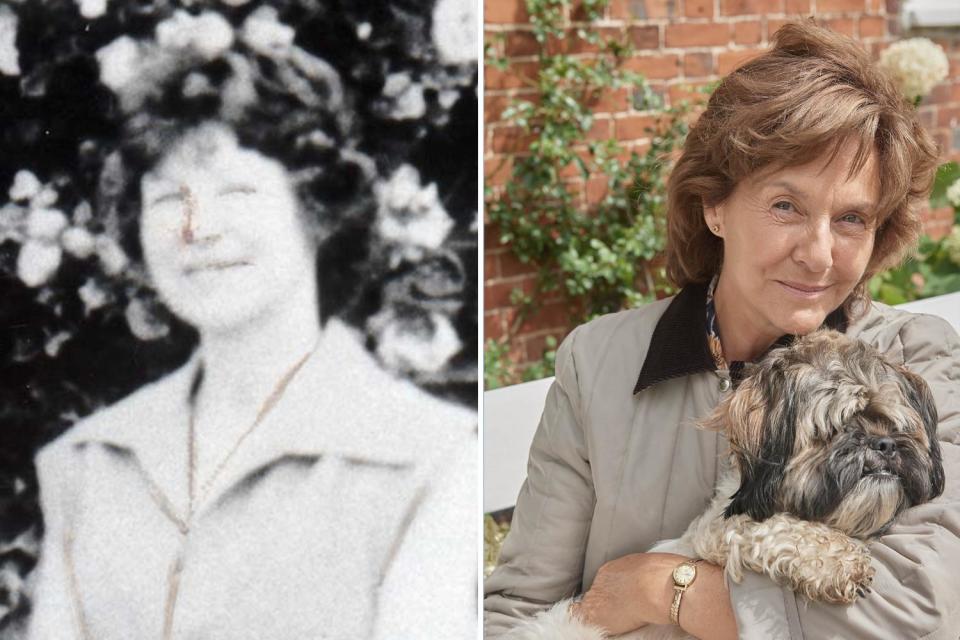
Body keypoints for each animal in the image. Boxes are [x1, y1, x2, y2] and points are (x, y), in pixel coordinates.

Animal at [510, 330, 944, 640]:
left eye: (891, 423)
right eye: (836, 428)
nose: (883, 445)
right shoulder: (718, 530)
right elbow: (782, 528)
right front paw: (839, 562)